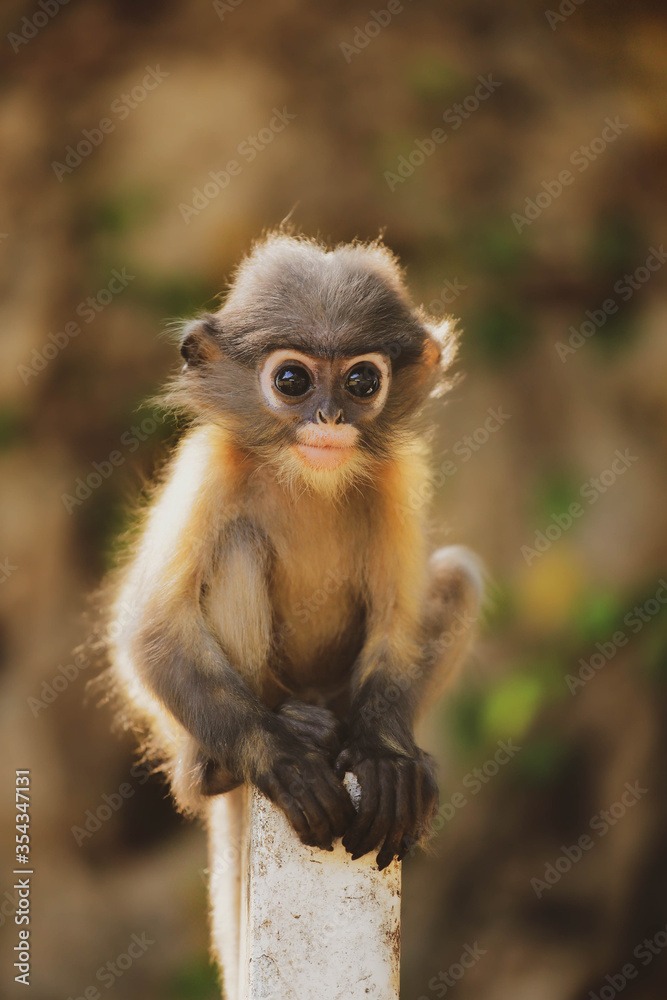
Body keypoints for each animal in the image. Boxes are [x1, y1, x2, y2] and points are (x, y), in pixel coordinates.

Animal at [106, 232, 482, 990]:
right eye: (292, 381)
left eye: (362, 382)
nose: (329, 418)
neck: (307, 475)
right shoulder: (209, 461)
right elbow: (150, 631)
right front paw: (277, 758)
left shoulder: (396, 475)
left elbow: (399, 626)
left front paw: (385, 754)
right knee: (238, 545)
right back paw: (241, 756)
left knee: (455, 577)